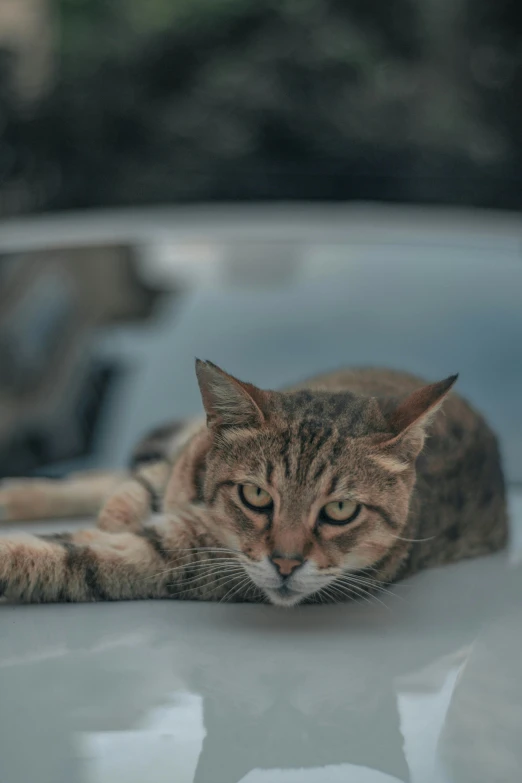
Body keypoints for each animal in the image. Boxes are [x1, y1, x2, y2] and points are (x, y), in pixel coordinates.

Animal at [0, 362, 506, 608]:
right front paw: (117, 513)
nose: (286, 564)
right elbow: (134, 491)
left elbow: (61, 558)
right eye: (257, 495)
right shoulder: (183, 459)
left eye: (340, 510)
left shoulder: (173, 560)